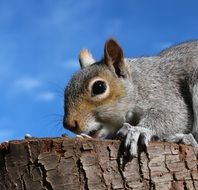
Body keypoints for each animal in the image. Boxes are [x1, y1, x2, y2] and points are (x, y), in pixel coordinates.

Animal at [62, 38, 198, 157]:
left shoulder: (166, 93)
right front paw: (84, 137)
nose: (69, 125)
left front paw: (138, 130)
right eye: (66, 90)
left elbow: (175, 116)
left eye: (99, 87)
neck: (136, 84)